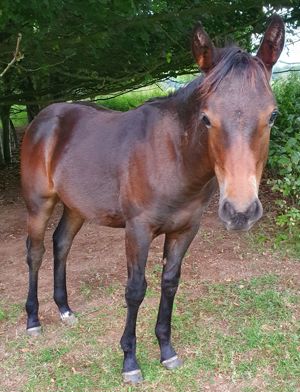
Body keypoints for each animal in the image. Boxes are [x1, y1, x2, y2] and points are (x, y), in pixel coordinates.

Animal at [21, 15, 284, 382]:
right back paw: (33, 320)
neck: (173, 157)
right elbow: (135, 290)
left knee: (61, 244)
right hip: (38, 204)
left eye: (272, 116)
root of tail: (43, 119)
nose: (240, 211)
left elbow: (169, 284)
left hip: (75, 207)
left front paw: (167, 351)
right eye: (206, 118)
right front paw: (130, 361)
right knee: (36, 253)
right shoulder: (138, 231)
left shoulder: (185, 230)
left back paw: (65, 309)